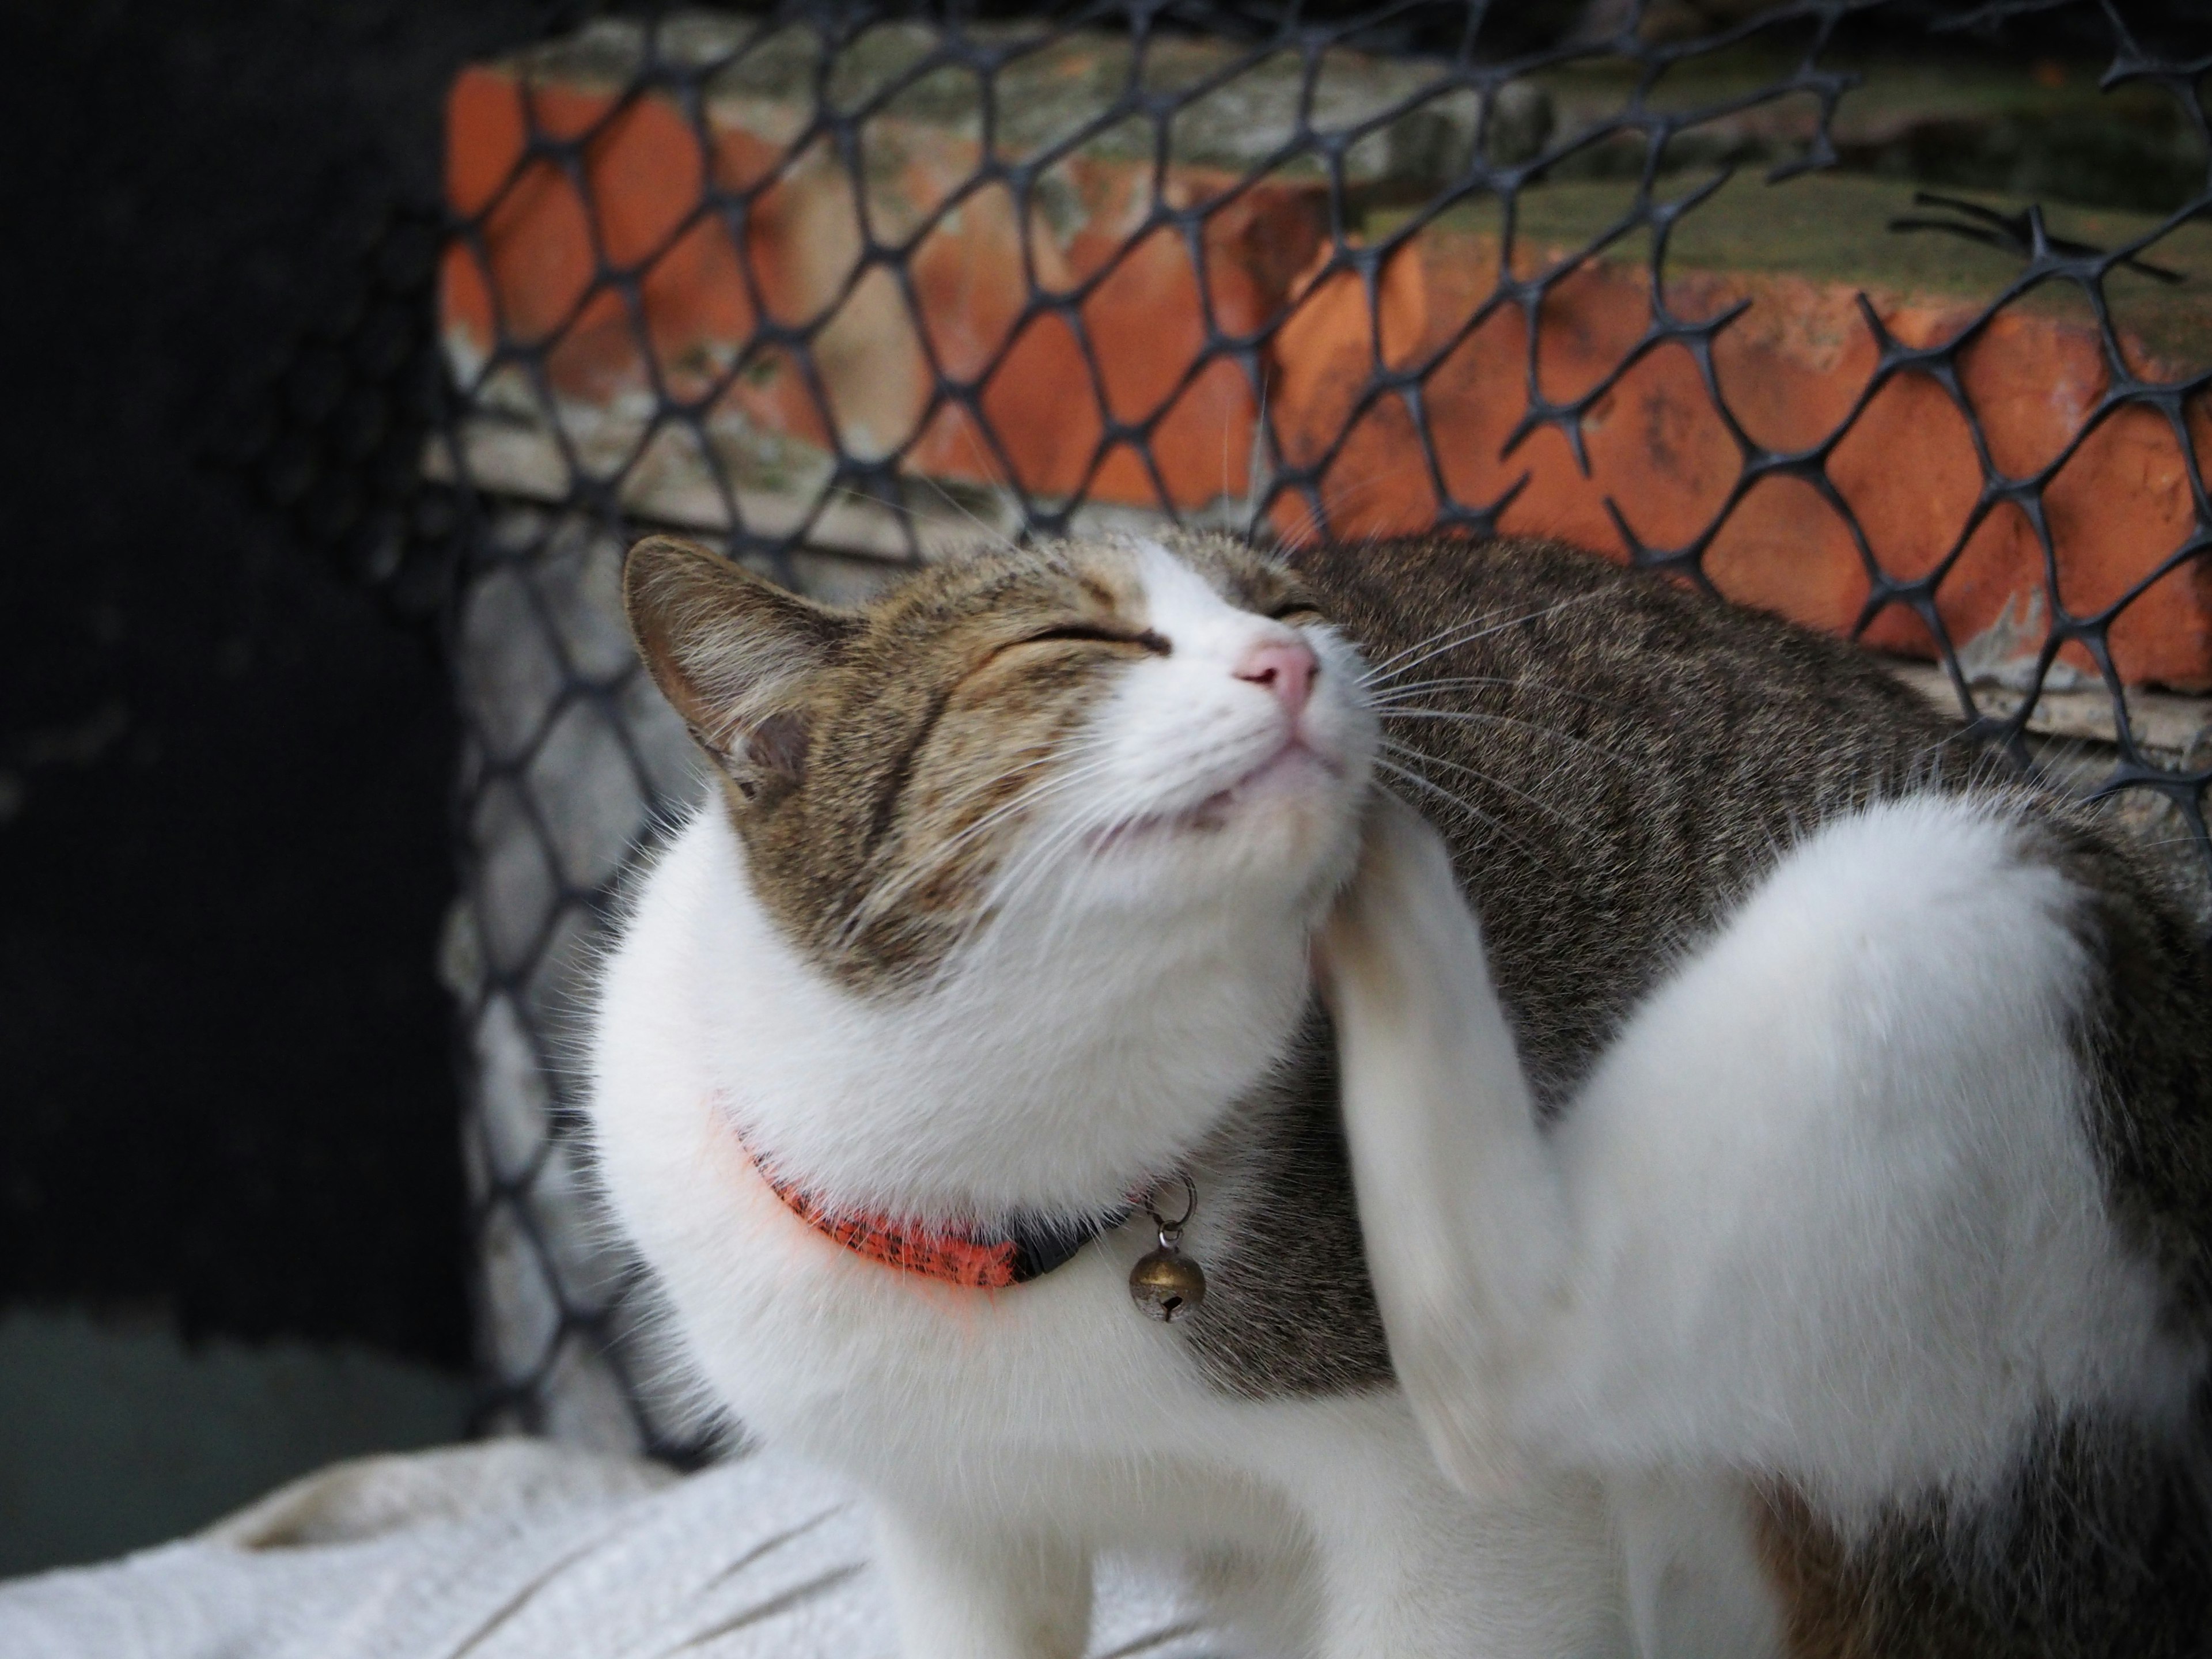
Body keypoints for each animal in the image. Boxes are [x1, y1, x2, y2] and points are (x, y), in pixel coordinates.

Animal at [584, 522, 2212, 1659]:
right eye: (1072, 636)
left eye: (1298, 608)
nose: (1297, 664)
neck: (990, 1188)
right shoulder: (953, 1521)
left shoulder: (1469, 1547)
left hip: (1954, 893)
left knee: (1522, 1381)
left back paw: (1400, 886)